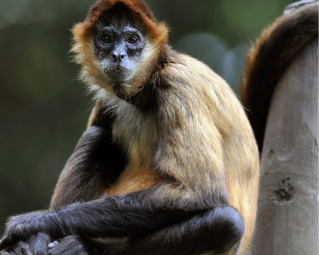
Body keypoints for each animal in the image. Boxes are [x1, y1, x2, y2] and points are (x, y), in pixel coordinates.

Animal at [1, 0, 316, 255]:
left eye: (132, 40)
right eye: (105, 39)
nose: (118, 55)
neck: (146, 89)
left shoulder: (179, 86)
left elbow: (198, 193)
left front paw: (33, 224)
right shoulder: (108, 99)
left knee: (225, 222)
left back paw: (82, 246)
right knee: (97, 135)